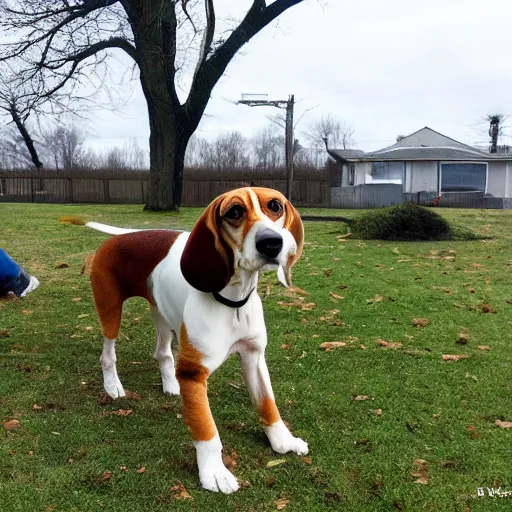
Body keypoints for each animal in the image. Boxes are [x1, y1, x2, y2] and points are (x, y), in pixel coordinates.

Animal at [62, 187, 306, 492]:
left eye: (275, 206)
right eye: (234, 212)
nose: (271, 243)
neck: (232, 302)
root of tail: (120, 237)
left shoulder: (254, 357)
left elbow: (268, 405)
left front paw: (282, 441)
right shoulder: (194, 373)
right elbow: (206, 428)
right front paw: (214, 472)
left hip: (163, 315)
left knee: (163, 353)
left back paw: (170, 384)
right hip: (110, 312)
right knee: (108, 353)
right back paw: (113, 386)